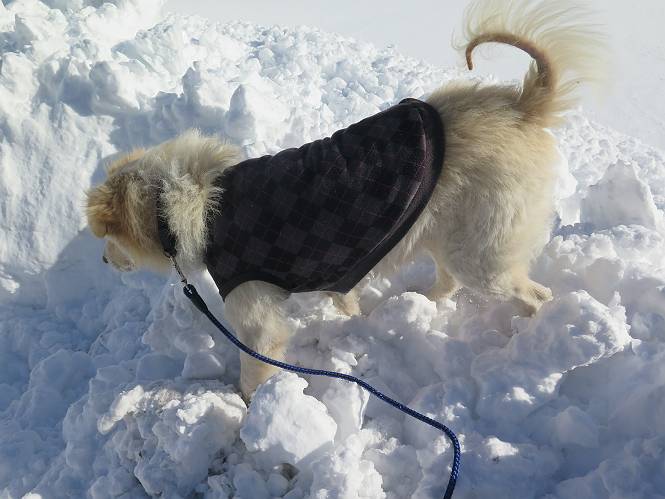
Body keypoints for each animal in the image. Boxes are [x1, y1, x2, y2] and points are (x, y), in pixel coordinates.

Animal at [86, 0, 605, 397]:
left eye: (108, 239)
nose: (106, 262)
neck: (186, 202)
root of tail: (520, 106)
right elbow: (346, 301)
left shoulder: (254, 314)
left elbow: (256, 367)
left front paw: (246, 409)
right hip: (446, 230)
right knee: (448, 282)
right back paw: (417, 301)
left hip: (482, 253)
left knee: (535, 294)